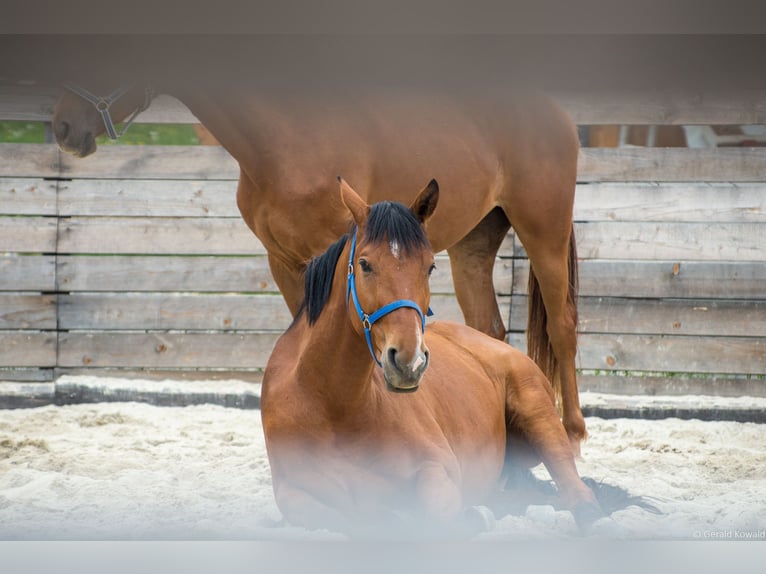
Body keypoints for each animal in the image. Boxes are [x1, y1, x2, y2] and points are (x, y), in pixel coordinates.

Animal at [51, 79, 584, 452]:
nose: (62, 127)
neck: (285, 133)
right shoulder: (286, 262)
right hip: (473, 246)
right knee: (489, 329)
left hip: (544, 230)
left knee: (563, 327)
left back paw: (574, 435)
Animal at [260, 180, 608, 540]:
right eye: (365, 264)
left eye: (430, 266)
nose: (409, 362)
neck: (331, 405)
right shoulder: (294, 495)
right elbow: (360, 520)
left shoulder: (437, 469)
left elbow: (433, 517)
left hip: (538, 413)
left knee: (576, 492)